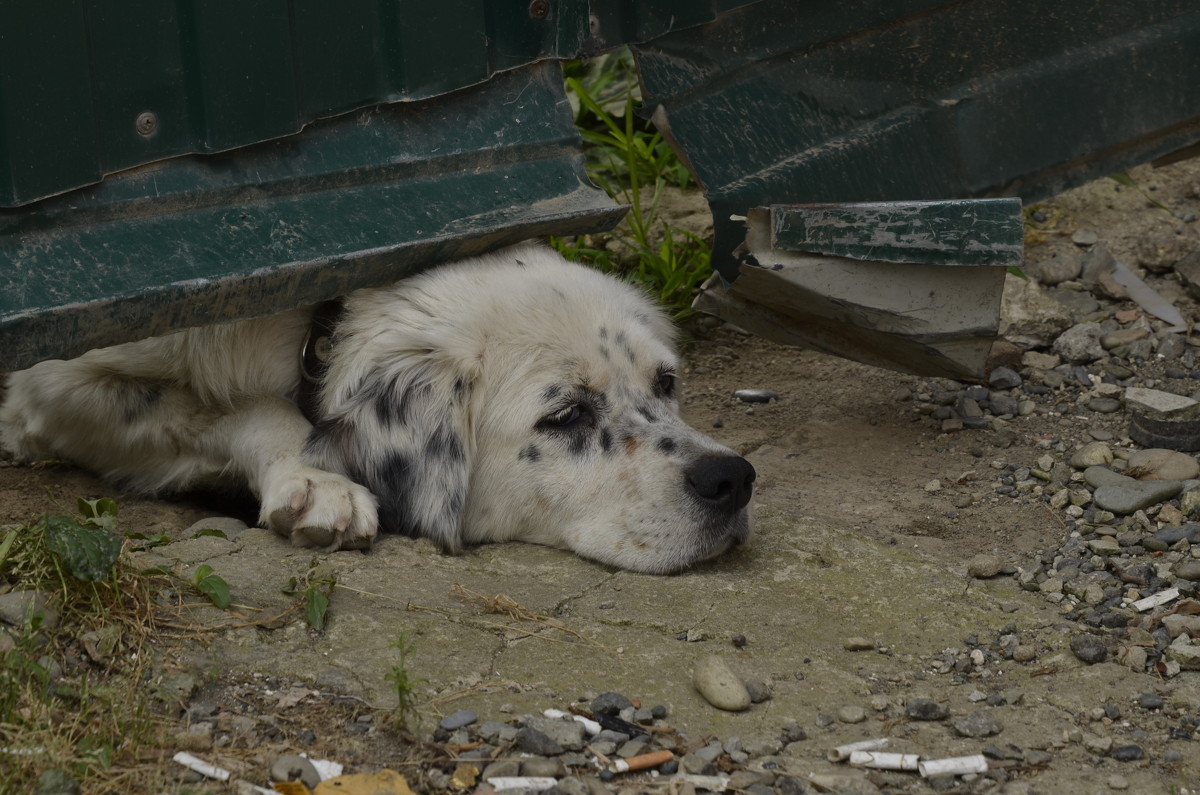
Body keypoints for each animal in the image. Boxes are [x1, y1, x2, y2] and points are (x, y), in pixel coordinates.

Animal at [0, 244, 748, 574]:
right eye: (565, 416)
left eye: (666, 383)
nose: (733, 479)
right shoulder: (55, 386)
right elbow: (253, 409)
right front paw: (314, 481)